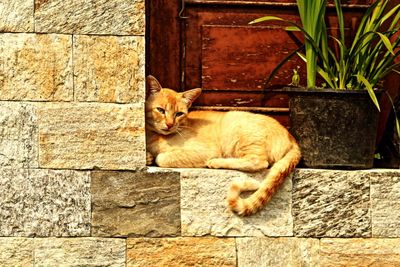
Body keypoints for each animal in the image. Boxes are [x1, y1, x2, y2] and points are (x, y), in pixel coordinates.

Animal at [146, 76, 300, 218]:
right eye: (160, 110)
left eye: (179, 114)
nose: (170, 124)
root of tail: (293, 139)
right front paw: (148, 156)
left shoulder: (206, 151)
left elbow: (161, 158)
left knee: (260, 162)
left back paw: (216, 162)